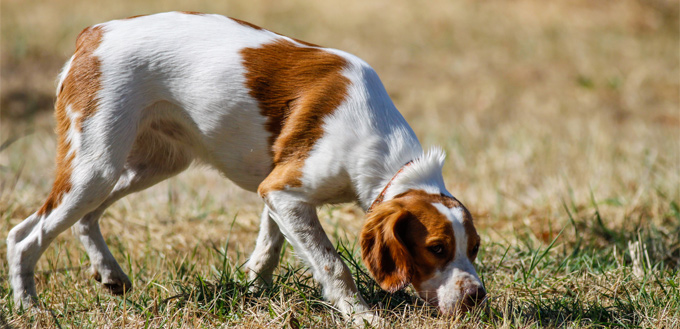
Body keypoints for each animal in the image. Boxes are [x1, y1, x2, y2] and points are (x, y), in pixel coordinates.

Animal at [3, 11, 484, 322]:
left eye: (475, 248)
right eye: (436, 248)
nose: (477, 297)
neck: (380, 146)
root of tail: (93, 34)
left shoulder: (277, 191)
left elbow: (270, 247)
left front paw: (254, 291)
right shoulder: (285, 190)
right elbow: (332, 264)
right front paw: (360, 314)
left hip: (150, 164)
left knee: (84, 218)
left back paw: (109, 274)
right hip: (96, 165)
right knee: (23, 236)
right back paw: (29, 307)